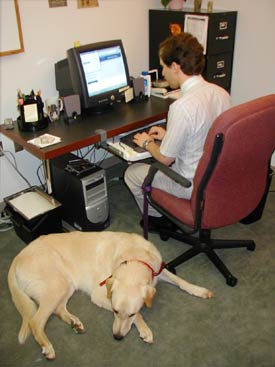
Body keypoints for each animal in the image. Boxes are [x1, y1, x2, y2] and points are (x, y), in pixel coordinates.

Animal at [7, 231, 212, 360]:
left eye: (128, 314)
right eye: (114, 311)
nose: (117, 337)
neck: (133, 258)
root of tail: (16, 258)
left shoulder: (157, 271)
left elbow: (180, 281)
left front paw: (199, 290)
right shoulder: (100, 296)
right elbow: (141, 315)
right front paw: (144, 329)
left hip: (66, 286)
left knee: (57, 309)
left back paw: (74, 322)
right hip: (57, 286)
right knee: (35, 322)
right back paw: (47, 347)